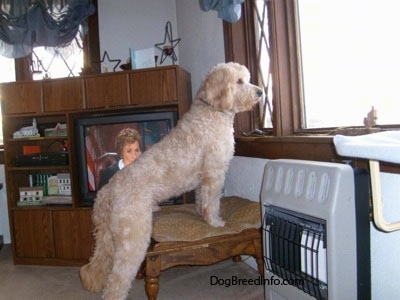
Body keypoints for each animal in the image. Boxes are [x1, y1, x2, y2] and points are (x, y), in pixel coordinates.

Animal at [79, 62, 262, 298]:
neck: (212, 109)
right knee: (116, 283)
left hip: (109, 239)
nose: (260, 92)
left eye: (246, 79)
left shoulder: (203, 178)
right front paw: (215, 222)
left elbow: (201, 200)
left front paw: (200, 214)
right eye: (239, 81)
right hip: (133, 237)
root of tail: (106, 192)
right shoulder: (214, 173)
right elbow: (212, 202)